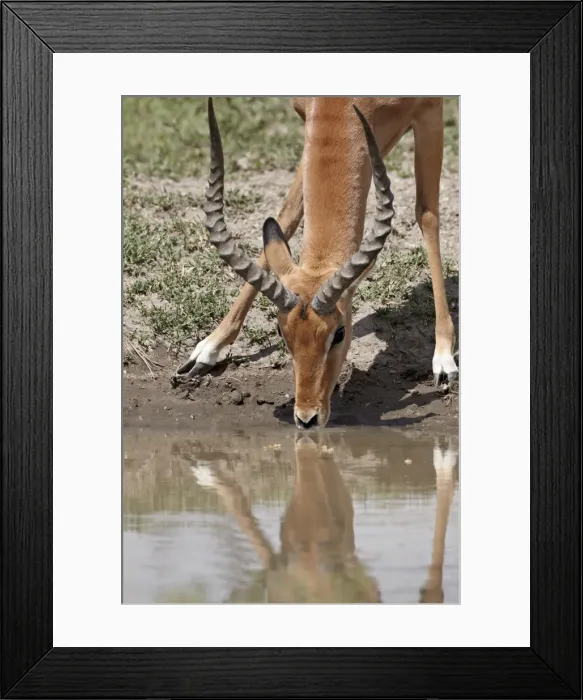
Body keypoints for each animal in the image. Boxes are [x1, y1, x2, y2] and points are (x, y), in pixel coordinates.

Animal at [176, 97, 458, 429]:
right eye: (281, 333)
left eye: (340, 333)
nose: (307, 417)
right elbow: (286, 216)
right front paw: (209, 348)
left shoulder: (429, 111)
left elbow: (427, 214)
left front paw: (443, 360)